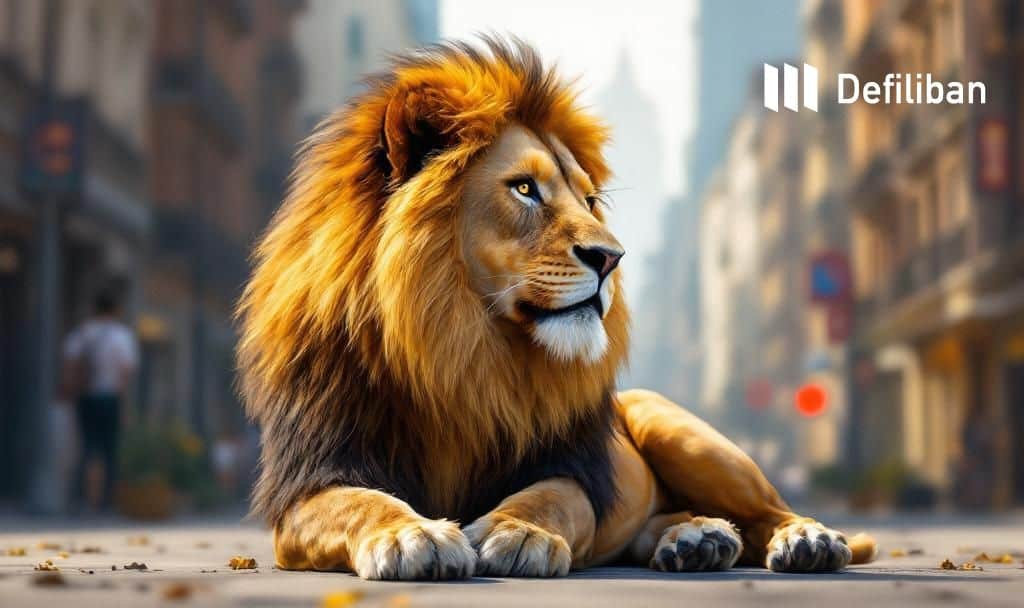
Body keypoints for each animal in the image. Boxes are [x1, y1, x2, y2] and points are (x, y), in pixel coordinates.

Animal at [237, 38, 876, 580]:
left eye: (589, 201)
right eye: (524, 189)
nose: (611, 258)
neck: (457, 346)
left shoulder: (572, 467)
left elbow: (549, 497)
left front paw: (517, 532)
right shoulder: (308, 484)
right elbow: (361, 501)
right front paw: (411, 535)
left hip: (678, 429)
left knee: (769, 511)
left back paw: (804, 540)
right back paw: (696, 539)